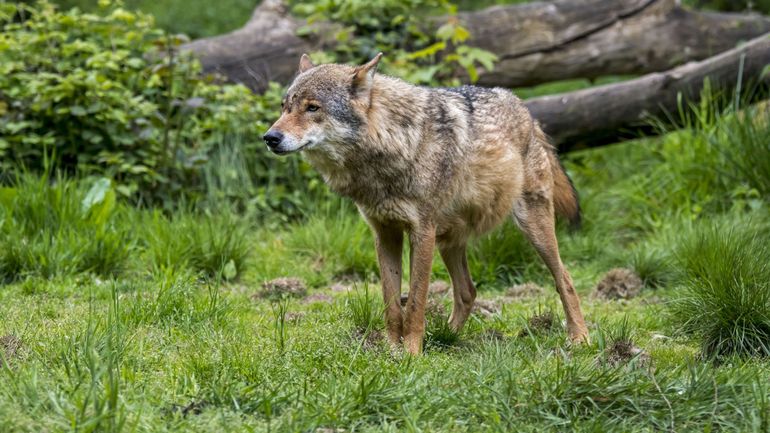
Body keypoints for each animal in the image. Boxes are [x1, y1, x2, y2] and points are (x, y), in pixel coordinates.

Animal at [264, 52, 588, 352]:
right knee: (468, 291)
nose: (270, 137)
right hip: (448, 241)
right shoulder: (385, 233)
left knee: (565, 278)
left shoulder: (421, 231)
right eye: (285, 107)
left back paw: (579, 338)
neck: (393, 143)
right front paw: (391, 350)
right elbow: (392, 303)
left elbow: (416, 301)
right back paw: (445, 337)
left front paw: (411, 353)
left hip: (532, 229)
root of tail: (526, 110)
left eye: (312, 108)